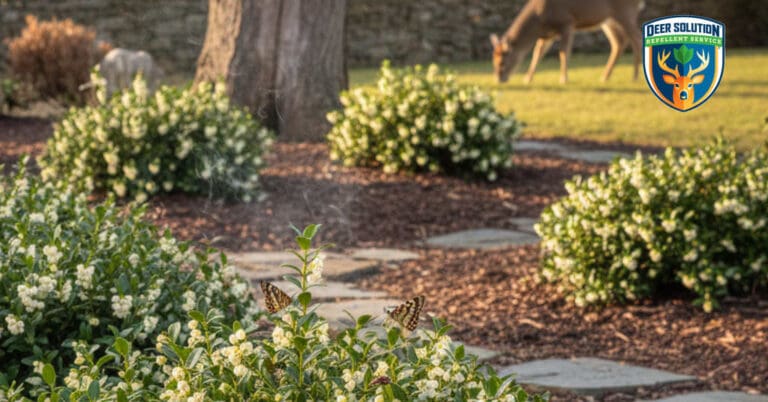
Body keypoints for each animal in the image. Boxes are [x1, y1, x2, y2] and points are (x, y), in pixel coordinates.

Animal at [490, 0, 645, 84]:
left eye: (502, 62)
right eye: (493, 60)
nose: (499, 79)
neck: (540, 20)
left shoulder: (567, 22)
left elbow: (563, 52)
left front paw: (564, 79)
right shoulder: (547, 35)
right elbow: (537, 53)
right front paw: (527, 78)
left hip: (625, 12)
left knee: (636, 39)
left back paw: (635, 76)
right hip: (608, 20)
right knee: (619, 41)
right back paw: (604, 76)